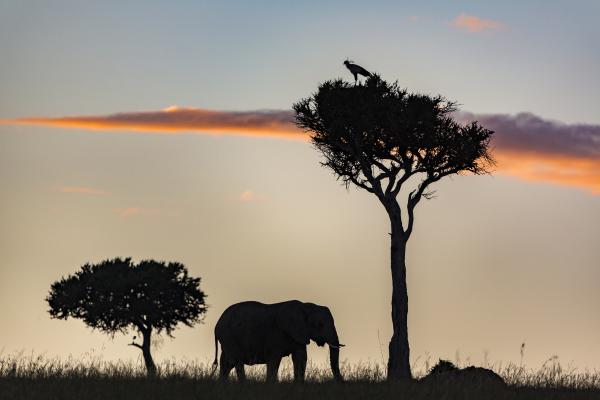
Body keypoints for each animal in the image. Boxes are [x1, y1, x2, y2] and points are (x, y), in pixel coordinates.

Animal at [212, 300, 342, 382]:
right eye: (320, 324)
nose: (342, 382)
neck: (305, 306)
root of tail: (217, 324)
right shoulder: (277, 334)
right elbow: (274, 360)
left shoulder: (299, 334)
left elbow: (300, 358)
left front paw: (298, 385)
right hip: (229, 337)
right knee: (236, 362)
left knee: (226, 364)